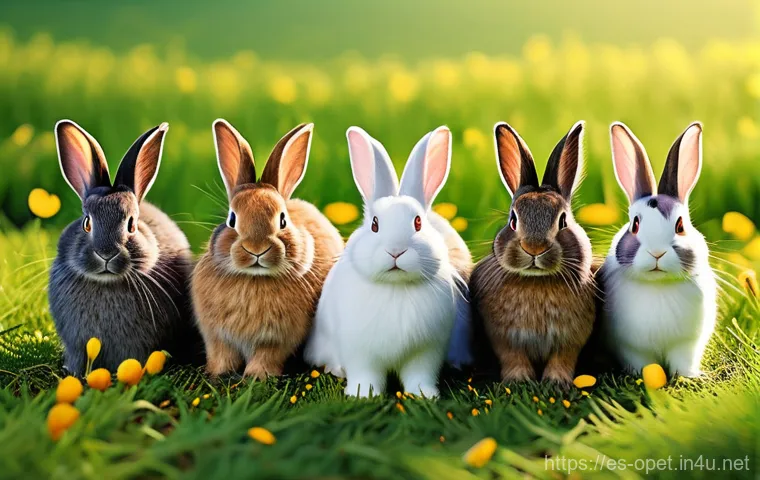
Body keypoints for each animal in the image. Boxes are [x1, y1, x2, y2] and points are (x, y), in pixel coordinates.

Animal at [49, 120, 202, 376]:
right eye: (87, 223)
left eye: (131, 224)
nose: (106, 254)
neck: (107, 283)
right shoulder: (77, 346)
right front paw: (75, 374)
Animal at [192, 119, 344, 379]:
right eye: (232, 219)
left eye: (282, 220)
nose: (256, 249)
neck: (253, 278)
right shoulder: (216, 336)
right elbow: (221, 354)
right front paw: (219, 373)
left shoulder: (276, 341)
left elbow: (266, 357)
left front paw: (256, 376)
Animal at [304, 125, 473, 398]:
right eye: (375, 224)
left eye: (418, 222)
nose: (396, 251)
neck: (397, 287)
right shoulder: (361, 353)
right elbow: (365, 375)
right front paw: (363, 395)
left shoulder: (426, 353)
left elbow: (419, 376)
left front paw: (425, 395)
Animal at [469, 121, 596, 388]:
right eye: (513, 220)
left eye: (563, 221)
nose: (534, 248)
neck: (537, 281)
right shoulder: (504, 339)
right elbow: (513, 357)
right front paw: (518, 381)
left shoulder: (570, 340)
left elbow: (562, 359)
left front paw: (556, 382)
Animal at [599, 122, 716, 377]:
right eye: (635, 224)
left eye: (680, 226)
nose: (657, 253)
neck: (658, 285)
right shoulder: (631, 347)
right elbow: (643, 363)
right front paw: (645, 376)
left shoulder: (687, 345)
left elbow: (683, 362)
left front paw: (689, 377)